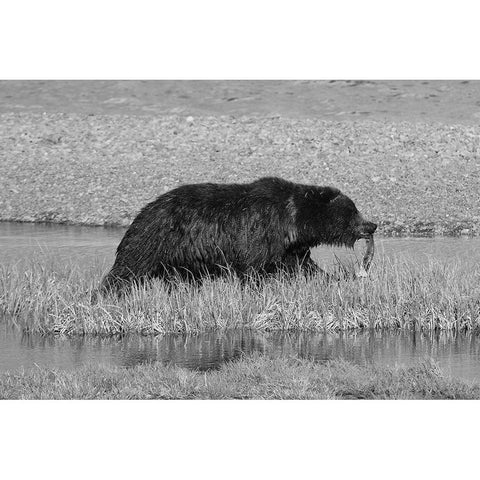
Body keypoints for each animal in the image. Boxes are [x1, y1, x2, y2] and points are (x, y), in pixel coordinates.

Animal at [100, 176, 378, 292]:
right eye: (353, 210)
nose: (372, 225)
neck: (293, 221)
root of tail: (143, 211)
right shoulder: (259, 232)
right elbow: (252, 269)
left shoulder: (289, 248)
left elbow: (302, 266)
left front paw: (331, 279)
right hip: (154, 239)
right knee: (128, 268)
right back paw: (108, 293)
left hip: (180, 259)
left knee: (181, 280)